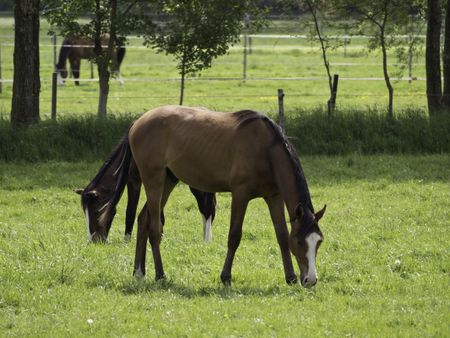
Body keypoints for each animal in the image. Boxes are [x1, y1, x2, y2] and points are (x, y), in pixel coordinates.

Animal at [75, 140, 216, 243]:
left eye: (96, 211)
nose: (94, 240)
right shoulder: (134, 181)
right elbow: (135, 211)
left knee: (206, 206)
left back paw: (207, 238)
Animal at [92, 105, 324, 288]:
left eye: (318, 242)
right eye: (301, 242)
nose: (310, 280)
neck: (265, 149)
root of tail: (137, 123)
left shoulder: (274, 196)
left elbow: (281, 236)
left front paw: (290, 276)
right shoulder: (240, 194)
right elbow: (234, 236)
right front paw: (226, 277)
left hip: (168, 180)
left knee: (143, 221)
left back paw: (139, 272)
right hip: (154, 181)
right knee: (155, 228)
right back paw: (160, 274)